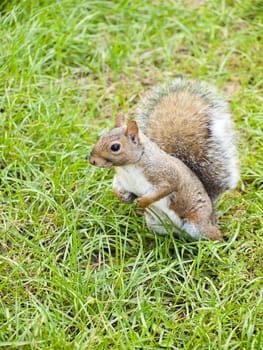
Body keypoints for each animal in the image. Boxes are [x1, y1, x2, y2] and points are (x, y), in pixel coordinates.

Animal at [88, 77, 239, 241]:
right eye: (101, 137)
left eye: (115, 147)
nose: (92, 160)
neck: (127, 167)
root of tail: (212, 214)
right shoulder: (122, 179)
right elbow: (116, 186)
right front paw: (122, 197)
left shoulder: (164, 173)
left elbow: (167, 187)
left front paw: (143, 201)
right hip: (155, 223)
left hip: (200, 224)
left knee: (213, 236)